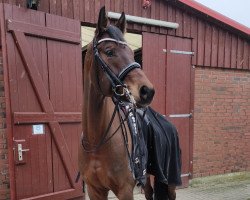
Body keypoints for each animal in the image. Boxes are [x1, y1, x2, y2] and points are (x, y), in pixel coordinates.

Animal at [78, 6, 156, 200]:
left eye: (131, 53)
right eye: (109, 51)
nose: (147, 91)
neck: (97, 141)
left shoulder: (125, 190)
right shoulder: (95, 190)